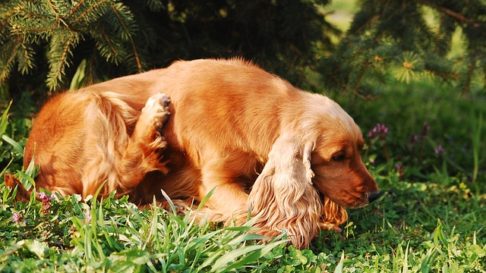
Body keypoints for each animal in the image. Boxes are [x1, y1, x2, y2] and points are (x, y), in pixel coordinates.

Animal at [11, 58, 378, 248]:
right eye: (338, 156)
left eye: (359, 150)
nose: (375, 194)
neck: (259, 109)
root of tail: (33, 169)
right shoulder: (214, 180)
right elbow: (249, 212)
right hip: (96, 105)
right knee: (109, 184)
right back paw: (154, 115)